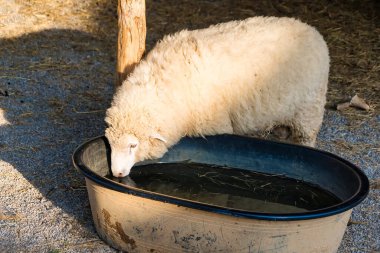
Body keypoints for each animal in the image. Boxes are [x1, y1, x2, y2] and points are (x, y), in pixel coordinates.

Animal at [104, 16, 330, 178]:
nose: (117, 173)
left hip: (310, 108)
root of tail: (313, 31)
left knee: (306, 138)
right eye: (110, 143)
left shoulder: (217, 124)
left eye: (133, 145)